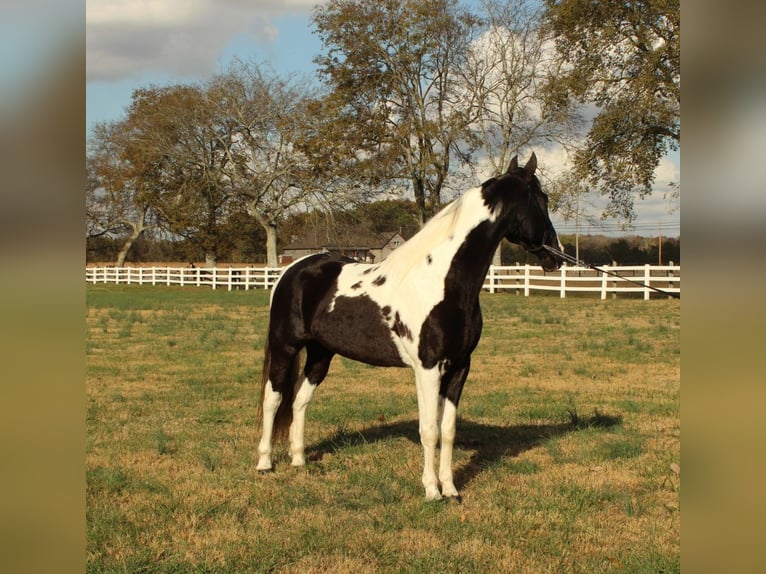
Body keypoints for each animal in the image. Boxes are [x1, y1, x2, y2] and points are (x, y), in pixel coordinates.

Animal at [258, 155, 564, 502]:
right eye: (542, 199)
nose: (556, 256)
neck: (442, 282)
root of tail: (291, 271)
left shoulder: (460, 367)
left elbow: (448, 430)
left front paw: (452, 489)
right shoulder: (427, 368)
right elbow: (428, 430)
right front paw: (432, 490)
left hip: (321, 354)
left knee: (299, 399)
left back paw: (298, 459)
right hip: (285, 346)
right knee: (273, 398)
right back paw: (265, 463)